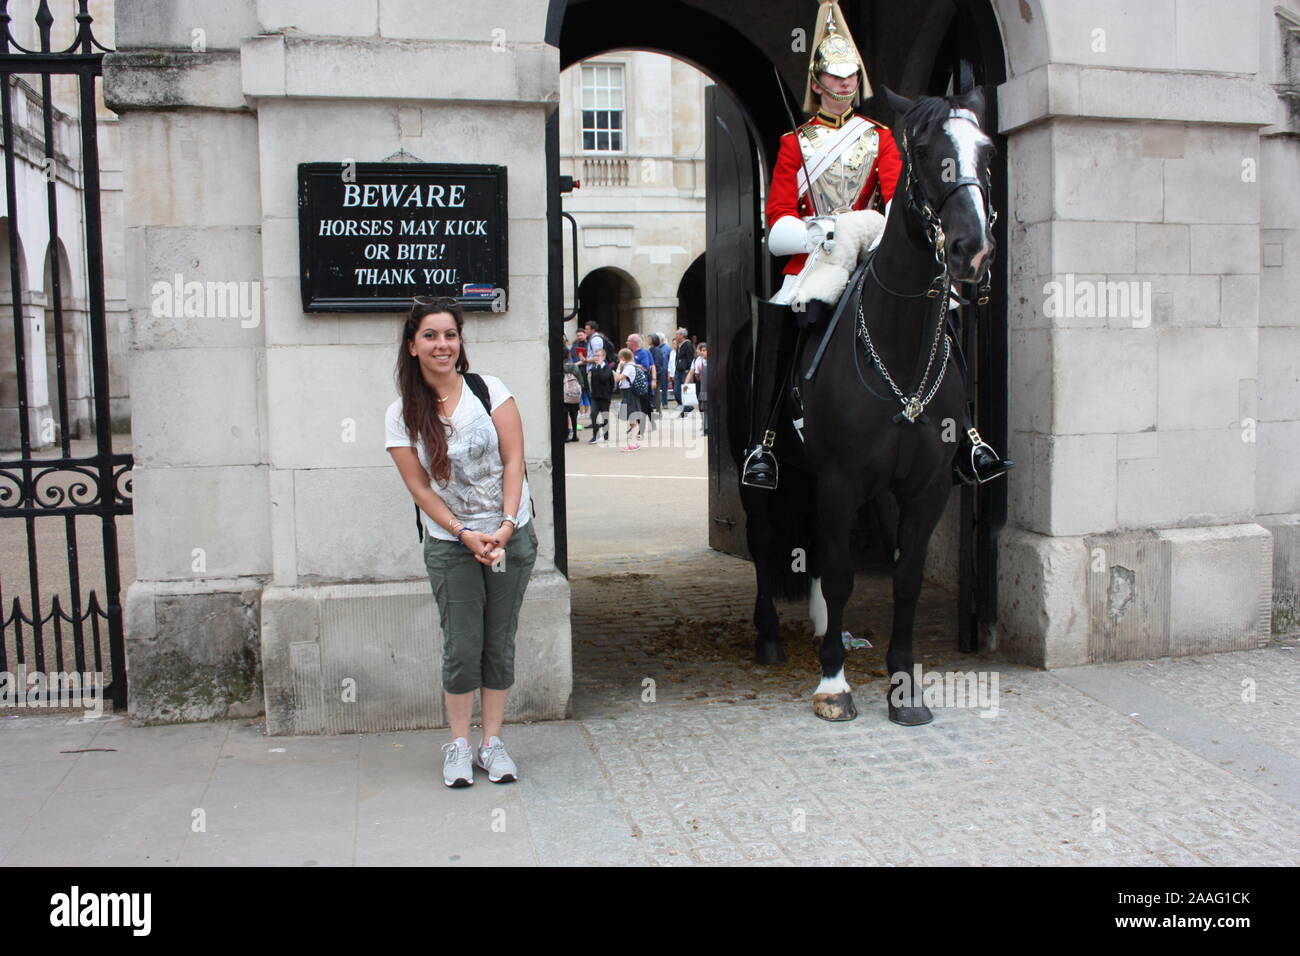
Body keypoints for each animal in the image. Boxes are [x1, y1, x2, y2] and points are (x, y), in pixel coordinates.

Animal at [733, 87, 993, 723]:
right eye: (923, 151)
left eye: (987, 151)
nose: (972, 250)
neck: (898, 350)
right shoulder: (841, 478)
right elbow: (844, 575)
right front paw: (832, 683)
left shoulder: (925, 487)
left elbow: (906, 579)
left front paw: (904, 688)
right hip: (757, 473)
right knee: (763, 540)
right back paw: (771, 636)